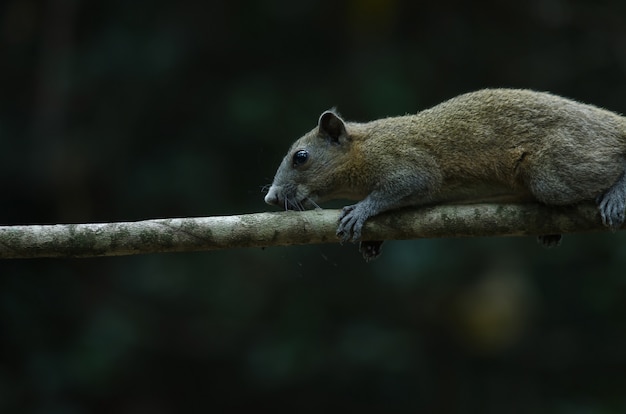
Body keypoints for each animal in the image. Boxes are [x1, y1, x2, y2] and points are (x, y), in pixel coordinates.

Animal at [264, 89, 624, 260]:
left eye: (301, 157)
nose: (270, 197)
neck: (364, 148)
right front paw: (372, 241)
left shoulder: (408, 161)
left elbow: (405, 185)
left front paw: (362, 211)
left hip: (555, 171)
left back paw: (616, 194)